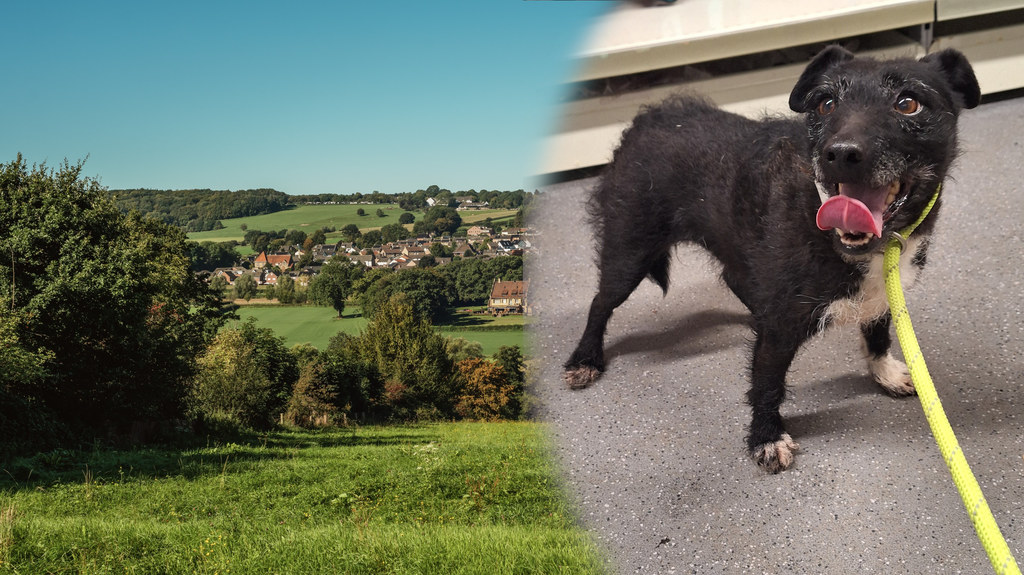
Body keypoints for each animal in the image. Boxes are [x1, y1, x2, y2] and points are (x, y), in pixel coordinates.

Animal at [565, 47, 978, 470]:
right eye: (825, 104)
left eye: (908, 103)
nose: (840, 154)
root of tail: (645, 119)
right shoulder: (779, 329)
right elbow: (767, 382)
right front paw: (765, 436)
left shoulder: (883, 293)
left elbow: (877, 332)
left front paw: (884, 371)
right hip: (629, 251)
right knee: (600, 303)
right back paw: (585, 359)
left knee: (733, 278)